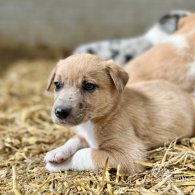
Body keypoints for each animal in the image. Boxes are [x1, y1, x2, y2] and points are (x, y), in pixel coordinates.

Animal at [44, 53, 195, 174]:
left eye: (89, 86)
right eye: (57, 84)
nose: (60, 112)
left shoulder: (129, 153)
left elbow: (83, 154)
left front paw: (60, 164)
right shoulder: (84, 135)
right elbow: (73, 140)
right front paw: (56, 152)